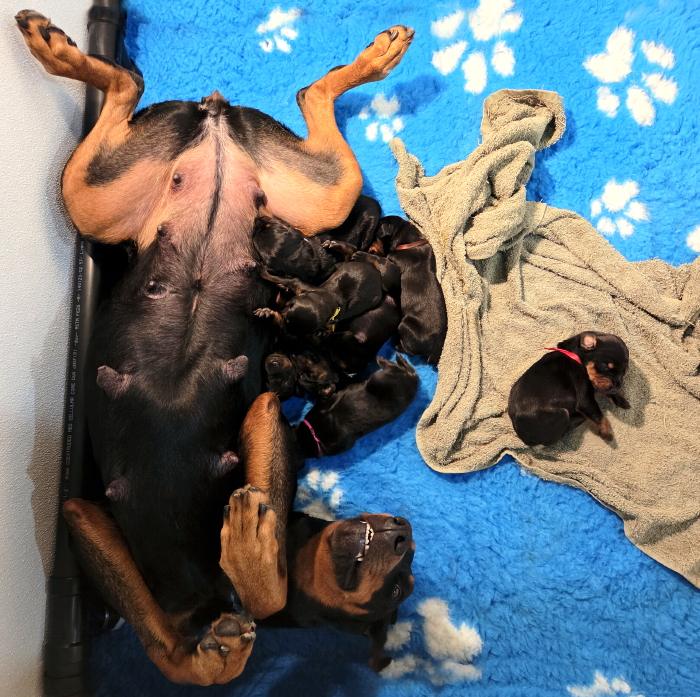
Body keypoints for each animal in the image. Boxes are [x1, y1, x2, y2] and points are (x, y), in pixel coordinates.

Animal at [17, 11, 415, 684]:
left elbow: (206, 634)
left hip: (131, 198)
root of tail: (217, 123)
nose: (399, 533)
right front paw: (244, 570)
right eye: (389, 573)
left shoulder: (86, 513)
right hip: (111, 200)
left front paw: (244, 551)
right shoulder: (93, 521)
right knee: (292, 93)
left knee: (138, 87)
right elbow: (221, 630)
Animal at [375, 216, 447, 364]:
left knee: (410, 351)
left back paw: (396, 344)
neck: (409, 241)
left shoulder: (391, 259)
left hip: (405, 327)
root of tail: (434, 349)